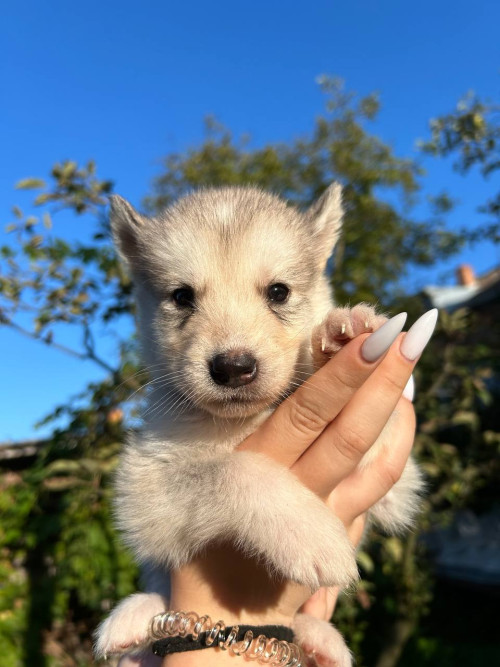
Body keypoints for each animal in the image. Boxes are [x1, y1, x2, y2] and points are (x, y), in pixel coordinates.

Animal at [94, 184, 422, 667]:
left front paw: (341, 335)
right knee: (158, 590)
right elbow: (234, 468)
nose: (233, 367)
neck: (240, 423)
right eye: (182, 297)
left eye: (279, 292)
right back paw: (132, 619)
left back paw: (319, 639)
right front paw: (307, 531)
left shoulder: (396, 491)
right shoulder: (141, 486)